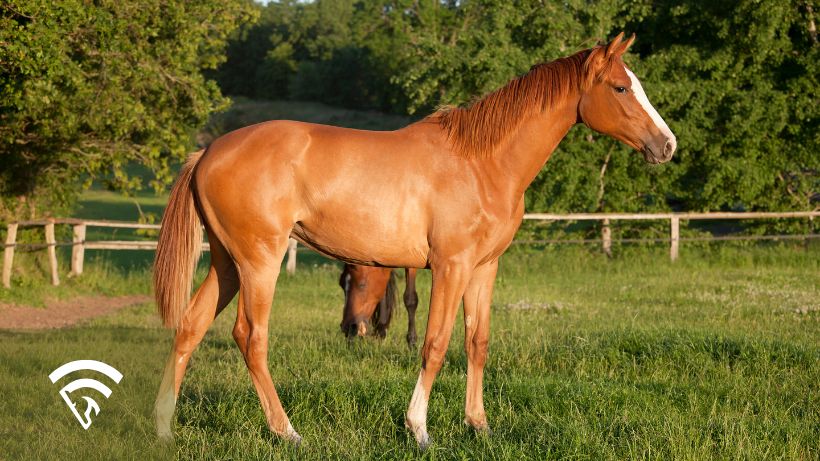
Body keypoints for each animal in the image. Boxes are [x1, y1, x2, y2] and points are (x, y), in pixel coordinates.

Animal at [152, 34, 672, 448]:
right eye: (621, 88)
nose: (667, 146)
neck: (481, 162)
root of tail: (208, 152)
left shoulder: (484, 269)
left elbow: (477, 341)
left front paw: (479, 425)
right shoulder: (450, 267)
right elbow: (436, 343)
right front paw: (418, 428)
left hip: (227, 264)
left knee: (190, 328)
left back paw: (163, 428)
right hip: (260, 262)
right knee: (250, 337)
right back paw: (287, 432)